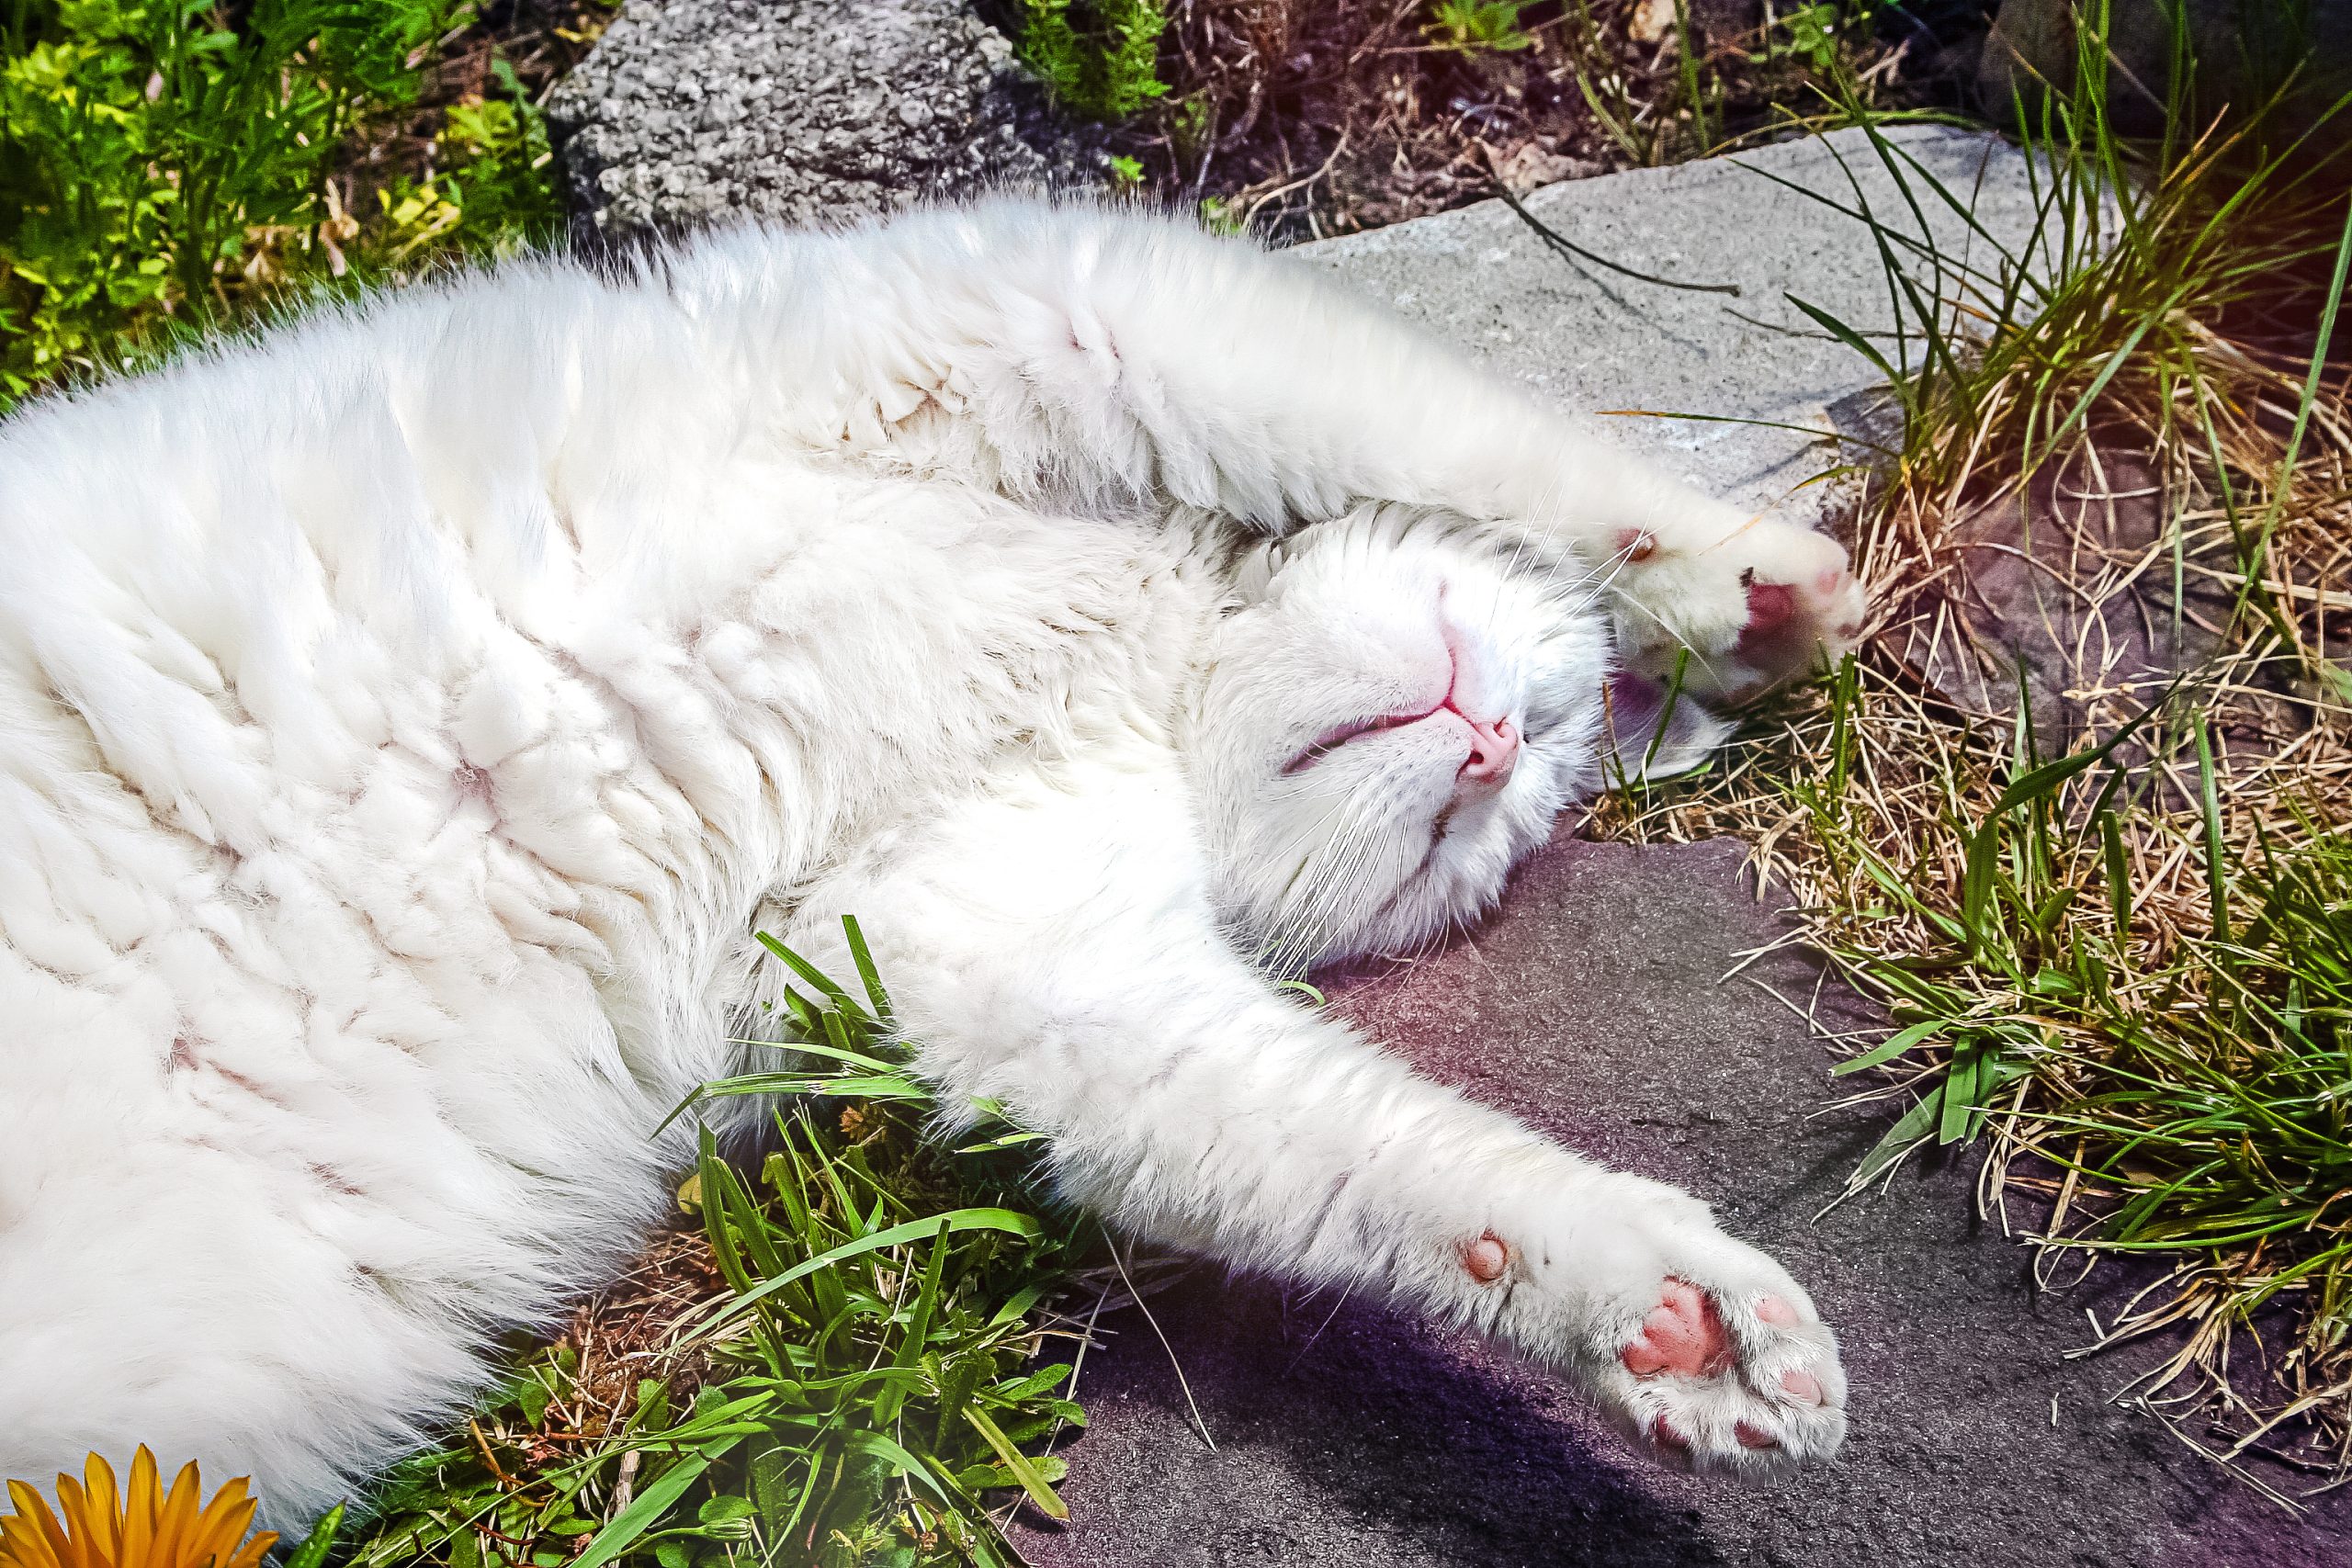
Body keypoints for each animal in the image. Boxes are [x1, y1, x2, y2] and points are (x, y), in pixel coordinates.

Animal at [5, 196, 1871, 1523]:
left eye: (1485, 817)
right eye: (1532, 735)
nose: (1494, 744)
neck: (1139, 655)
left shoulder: (1028, 959)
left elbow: (1392, 1165)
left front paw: (1669, 1325)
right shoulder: (1051, 309)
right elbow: (1499, 451)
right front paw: (1748, 586)